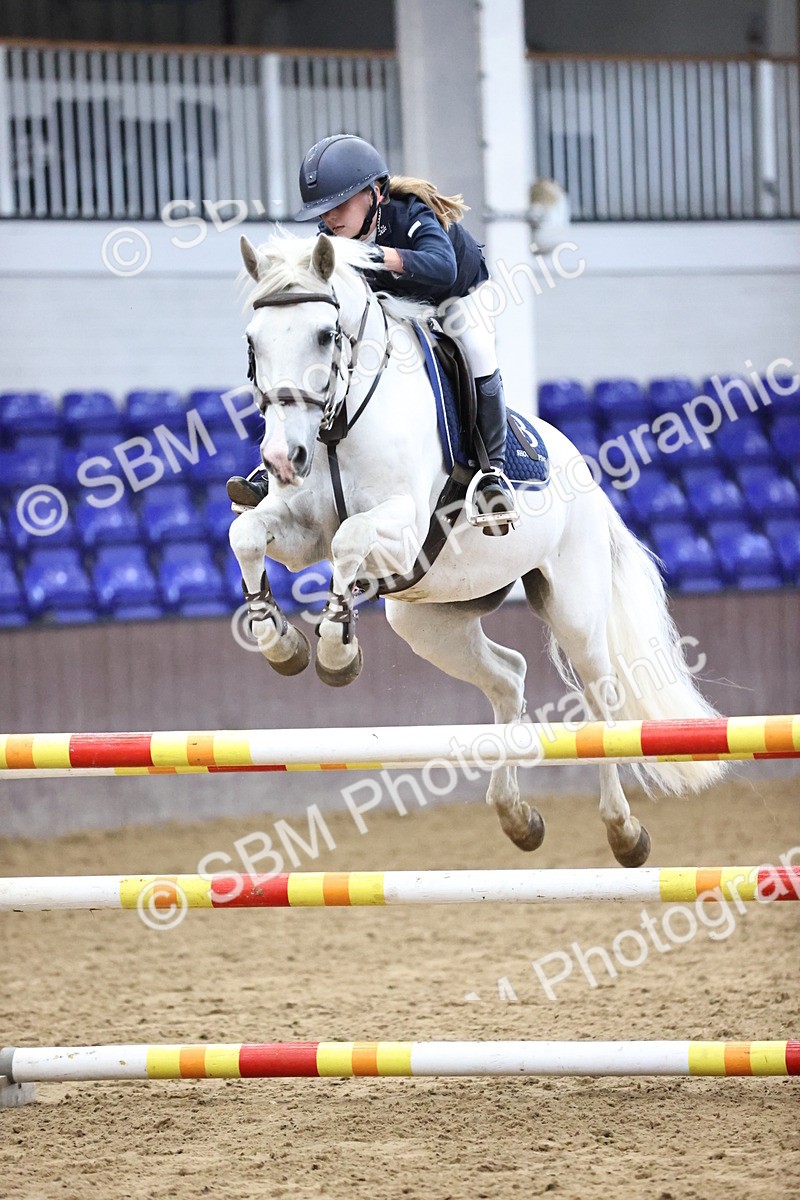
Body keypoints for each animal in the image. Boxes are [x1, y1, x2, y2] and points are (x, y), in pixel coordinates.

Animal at [229, 230, 725, 866]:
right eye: (253, 342)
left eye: (322, 334)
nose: (282, 458)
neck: (339, 426)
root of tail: (585, 472)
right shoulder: (300, 530)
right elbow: (249, 533)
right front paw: (279, 640)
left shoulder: (403, 531)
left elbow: (349, 538)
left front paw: (337, 647)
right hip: (429, 622)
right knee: (508, 678)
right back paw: (517, 817)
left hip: (575, 610)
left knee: (601, 703)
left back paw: (624, 831)